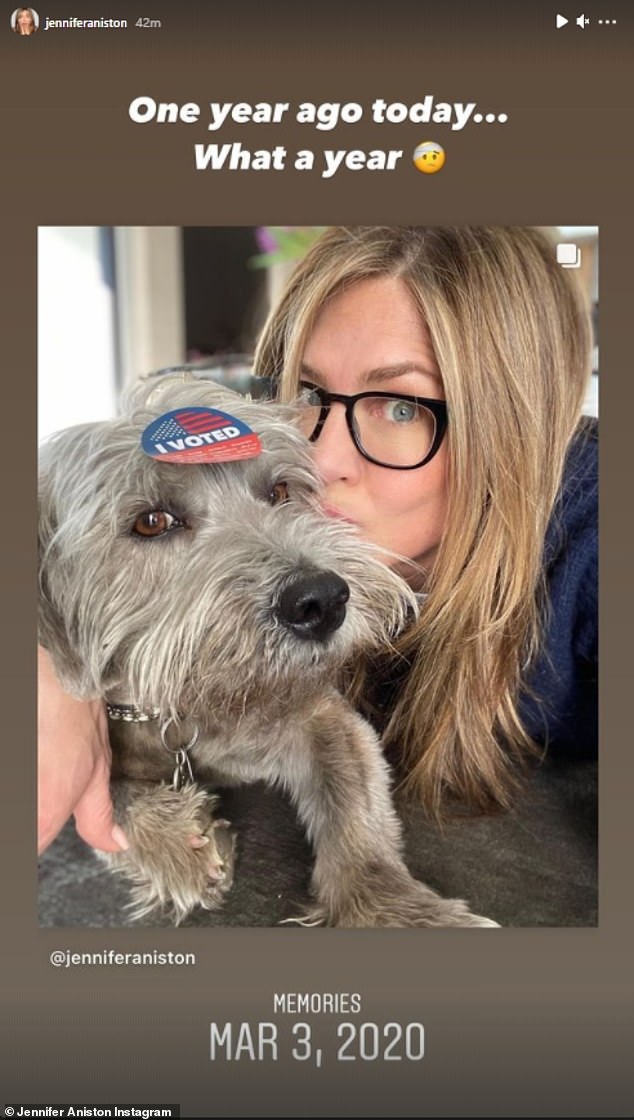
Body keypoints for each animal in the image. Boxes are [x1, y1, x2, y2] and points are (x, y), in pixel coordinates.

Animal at [37, 376, 499, 927]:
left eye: (279, 491)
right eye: (151, 521)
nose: (321, 599)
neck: (187, 706)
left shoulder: (322, 718)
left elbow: (354, 809)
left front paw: (389, 906)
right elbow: (106, 796)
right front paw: (173, 842)